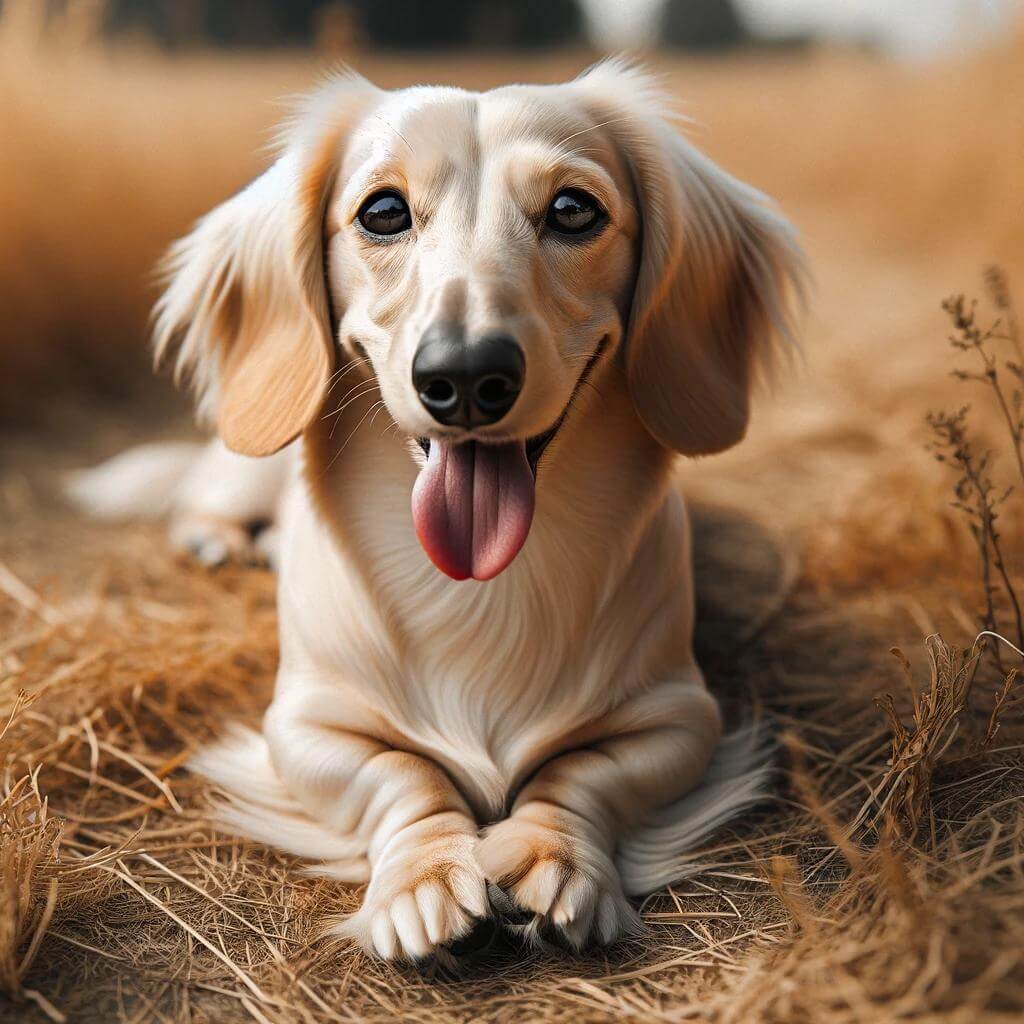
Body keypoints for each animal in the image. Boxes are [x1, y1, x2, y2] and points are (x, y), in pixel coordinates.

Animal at [70, 61, 806, 958]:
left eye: (574, 209)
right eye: (382, 211)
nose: (463, 376)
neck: (479, 588)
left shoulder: (677, 717)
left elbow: (578, 773)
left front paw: (557, 858)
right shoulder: (305, 725)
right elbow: (403, 773)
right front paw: (423, 876)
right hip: (242, 469)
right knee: (201, 501)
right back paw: (224, 542)